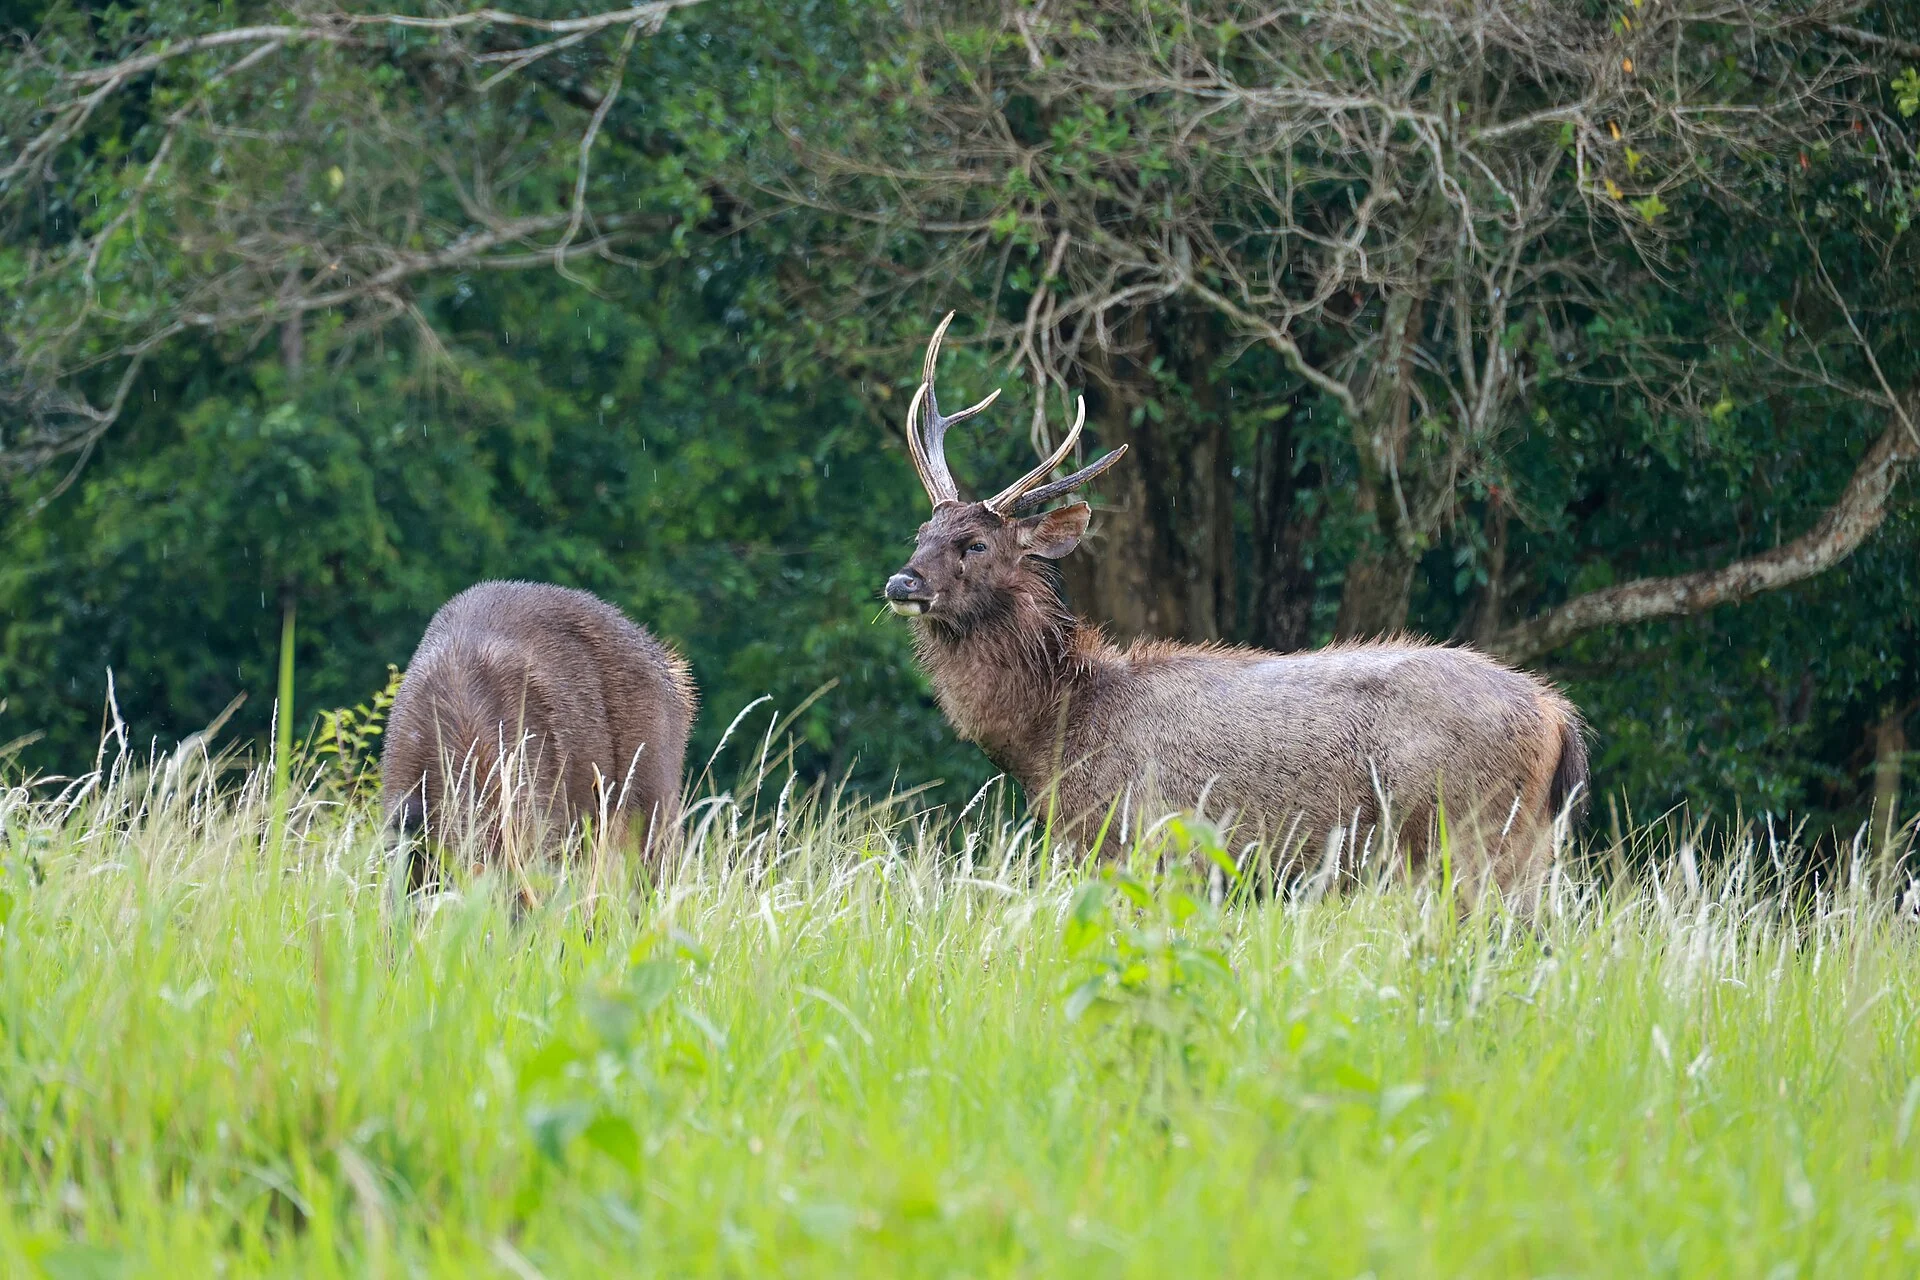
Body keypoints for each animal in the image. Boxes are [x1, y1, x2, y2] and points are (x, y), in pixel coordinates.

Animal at [882, 315, 1587, 900]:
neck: (1054, 738)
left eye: (975, 543)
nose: (900, 582)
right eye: (921, 533)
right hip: (1528, 849)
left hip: (1469, 835)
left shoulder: (1140, 840)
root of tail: (1559, 719)